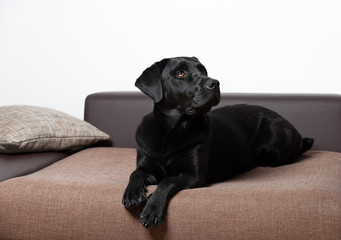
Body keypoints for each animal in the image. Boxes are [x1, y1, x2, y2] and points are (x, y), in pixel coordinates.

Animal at [121, 56, 312, 229]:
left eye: (203, 71)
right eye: (181, 73)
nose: (215, 83)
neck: (171, 132)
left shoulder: (194, 175)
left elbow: (166, 181)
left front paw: (152, 208)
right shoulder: (146, 167)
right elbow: (135, 173)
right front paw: (132, 194)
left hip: (276, 140)